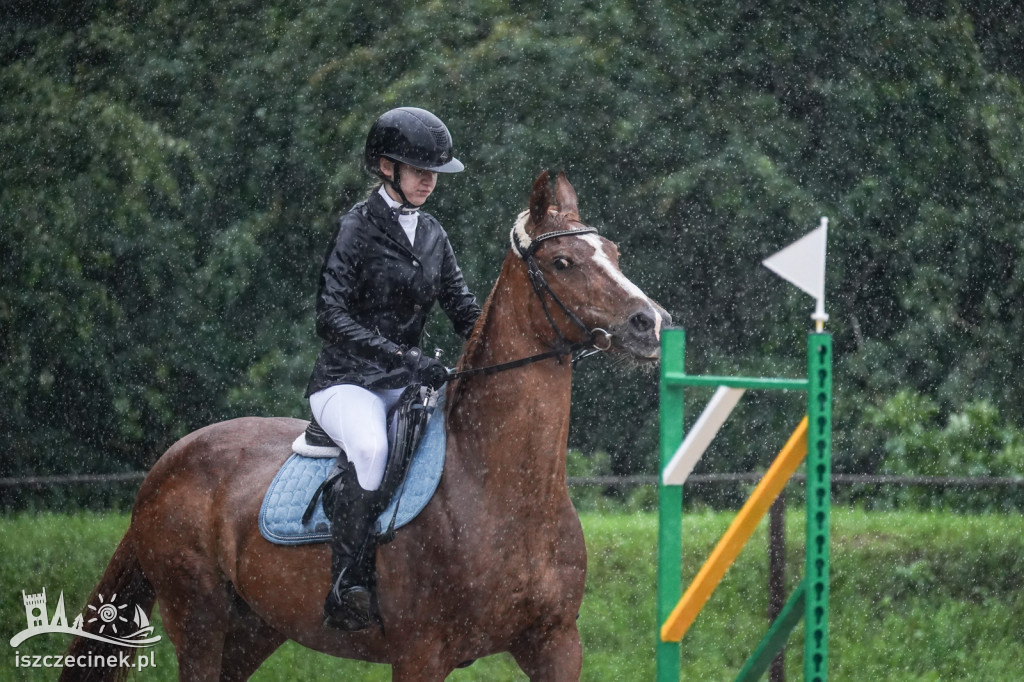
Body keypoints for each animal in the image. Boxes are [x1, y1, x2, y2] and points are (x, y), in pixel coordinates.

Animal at [61, 169, 671, 679]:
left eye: (613, 252)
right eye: (563, 262)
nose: (650, 324)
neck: (503, 488)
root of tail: (167, 462)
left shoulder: (555, 644)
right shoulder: (420, 653)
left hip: (254, 627)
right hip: (200, 617)